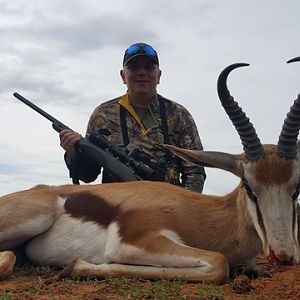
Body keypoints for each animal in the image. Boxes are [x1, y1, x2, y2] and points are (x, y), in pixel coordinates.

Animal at [0, 59, 300, 284]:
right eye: (249, 186)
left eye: (296, 188)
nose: (283, 255)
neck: (203, 214)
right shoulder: (132, 242)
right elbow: (218, 263)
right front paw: (75, 266)